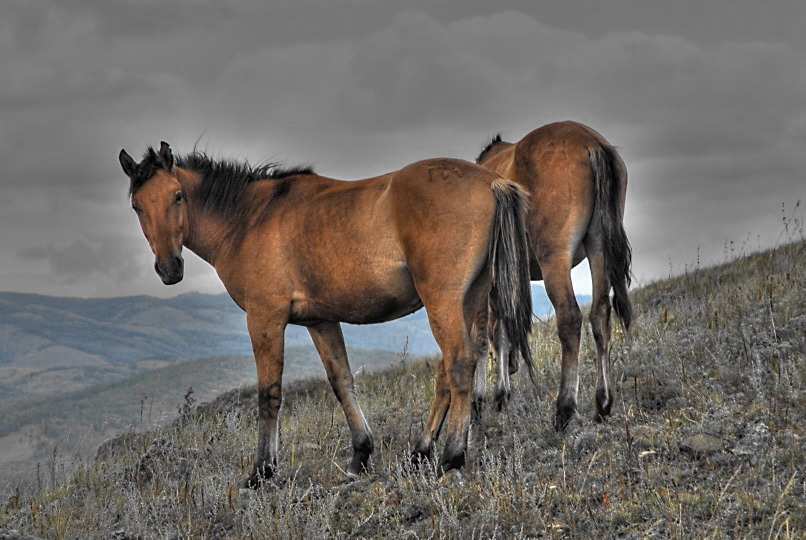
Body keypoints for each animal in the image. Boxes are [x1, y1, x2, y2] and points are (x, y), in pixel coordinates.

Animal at [118, 141, 536, 484]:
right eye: (137, 206)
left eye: (177, 196)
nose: (169, 268)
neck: (249, 218)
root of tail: (491, 182)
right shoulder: (320, 321)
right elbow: (342, 382)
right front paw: (360, 454)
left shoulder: (264, 318)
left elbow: (269, 394)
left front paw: (262, 471)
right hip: (471, 299)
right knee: (453, 368)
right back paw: (421, 451)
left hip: (443, 300)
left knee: (460, 363)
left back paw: (450, 456)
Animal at [476, 120, 636, 428]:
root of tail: (590, 143)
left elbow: (491, 331)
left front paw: (492, 396)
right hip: (599, 246)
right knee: (600, 314)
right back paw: (603, 403)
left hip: (555, 257)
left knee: (570, 318)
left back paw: (564, 408)